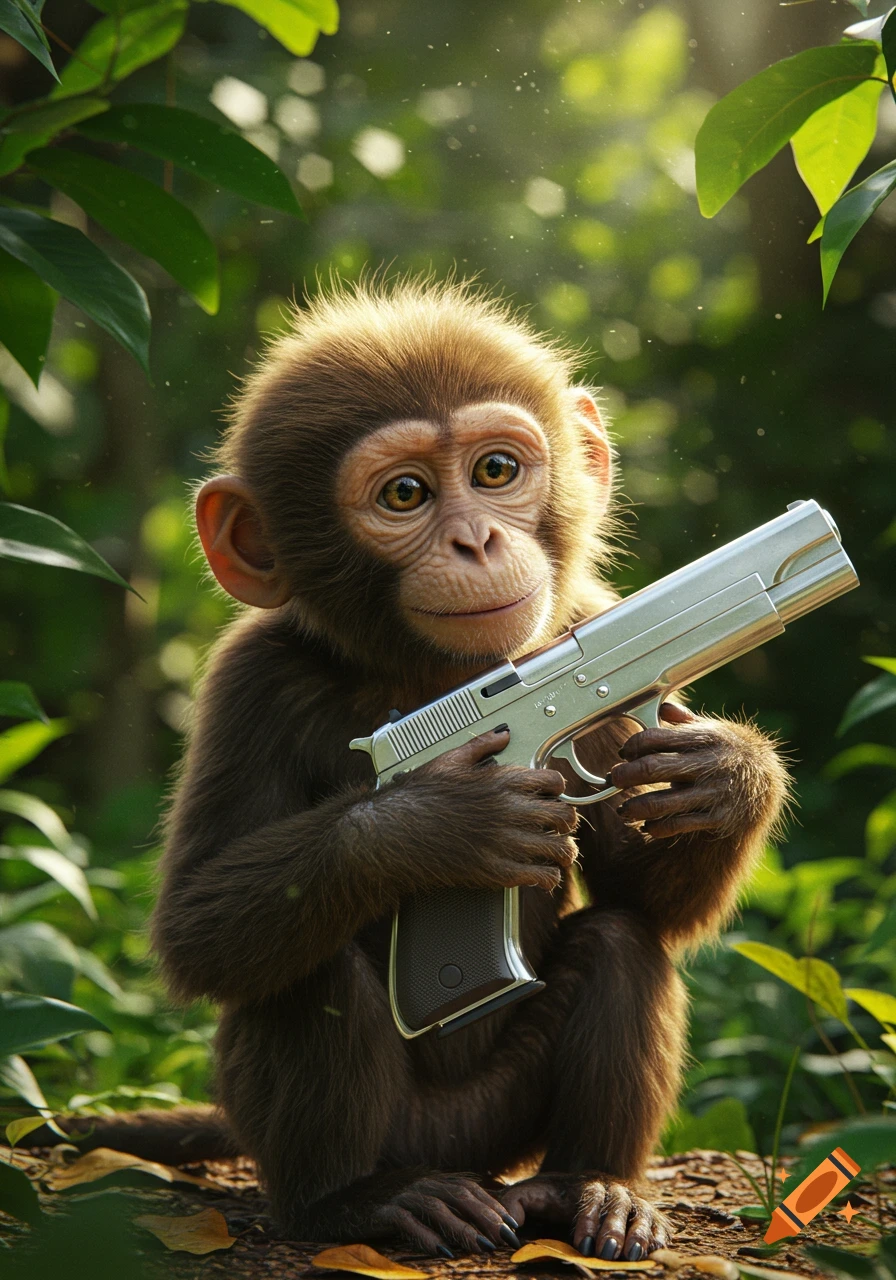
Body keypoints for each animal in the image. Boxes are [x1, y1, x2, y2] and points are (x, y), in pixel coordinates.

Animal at [32, 274, 790, 1259]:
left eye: (496, 473)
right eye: (405, 494)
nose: (475, 542)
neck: (428, 679)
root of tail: (463, 1159)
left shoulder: (588, 645)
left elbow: (652, 896)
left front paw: (728, 774)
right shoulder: (246, 682)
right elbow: (193, 924)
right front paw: (439, 825)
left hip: (503, 1127)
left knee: (624, 941)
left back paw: (594, 1189)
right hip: (386, 1133)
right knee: (303, 975)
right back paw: (363, 1200)